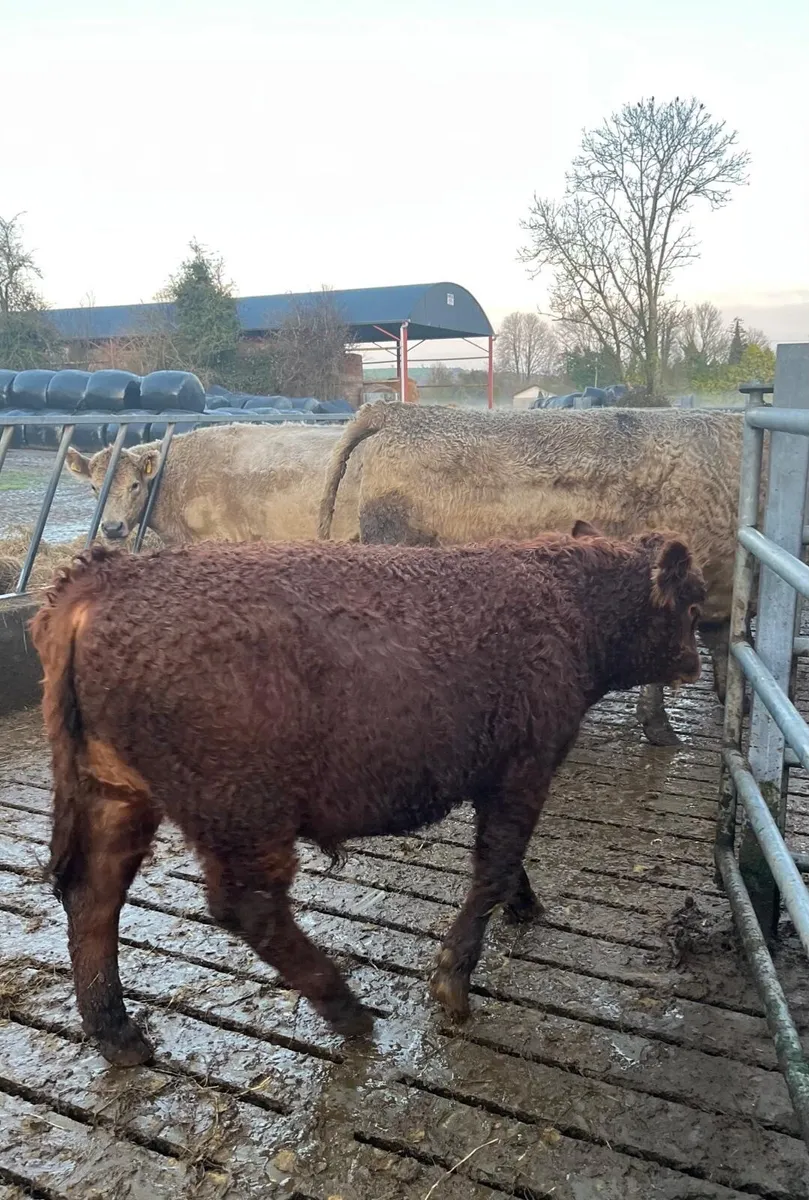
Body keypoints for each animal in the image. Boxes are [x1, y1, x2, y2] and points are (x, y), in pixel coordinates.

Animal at [32, 524, 705, 1065]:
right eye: (693, 604)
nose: (695, 662)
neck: (563, 600)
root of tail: (105, 577)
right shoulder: (523, 770)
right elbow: (493, 868)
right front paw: (453, 979)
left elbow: (506, 864)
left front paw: (525, 905)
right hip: (242, 812)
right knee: (248, 908)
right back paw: (347, 1009)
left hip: (119, 797)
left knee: (93, 897)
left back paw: (116, 1033)